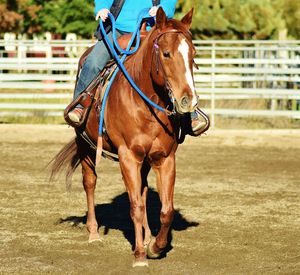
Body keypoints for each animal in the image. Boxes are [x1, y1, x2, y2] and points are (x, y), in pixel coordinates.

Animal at [50, 8, 203, 268]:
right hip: (84, 145)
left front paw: (155, 247)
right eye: (166, 53)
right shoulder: (128, 157)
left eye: (192, 54)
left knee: (143, 190)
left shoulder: (165, 158)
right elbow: (135, 207)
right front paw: (140, 255)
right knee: (90, 183)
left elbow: (166, 210)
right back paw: (93, 233)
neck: (146, 105)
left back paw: (148, 236)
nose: (187, 101)